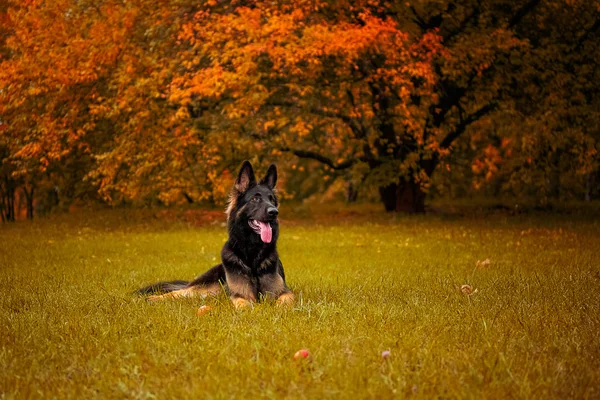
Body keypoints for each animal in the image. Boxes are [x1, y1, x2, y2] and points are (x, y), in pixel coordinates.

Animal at [138, 161, 292, 308]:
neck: (252, 253)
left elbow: (284, 300)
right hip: (203, 287)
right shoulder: (239, 294)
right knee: (179, 291)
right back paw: (154, 298)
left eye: (271, 200)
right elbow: (243, 304)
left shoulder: (284, 291)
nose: (274, 212)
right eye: (255, 199)